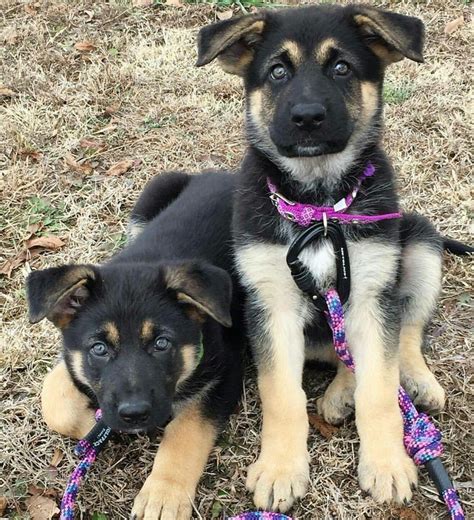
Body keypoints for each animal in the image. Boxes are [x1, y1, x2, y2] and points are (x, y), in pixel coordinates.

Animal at [25, 173, 243, 520]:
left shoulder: (227, 368)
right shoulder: (71, 359)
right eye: (99, 349)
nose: (134, 415)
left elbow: (188, 429)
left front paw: (164, 495)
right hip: (151, 195)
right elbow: (55, 401)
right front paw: (94, 426)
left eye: (161, 343)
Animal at [197, 4, 470, 512]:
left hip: (420, 242)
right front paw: (281, 469)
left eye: (341, 67)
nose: (307, 117)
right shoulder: (271, 305)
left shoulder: (373, 291)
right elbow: (281, 395)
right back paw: (342, 390)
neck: (319, 205)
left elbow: (380, 388)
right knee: (345, 353)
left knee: (405, 331)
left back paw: (412, 382)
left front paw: (387, 464)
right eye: (277, 71)